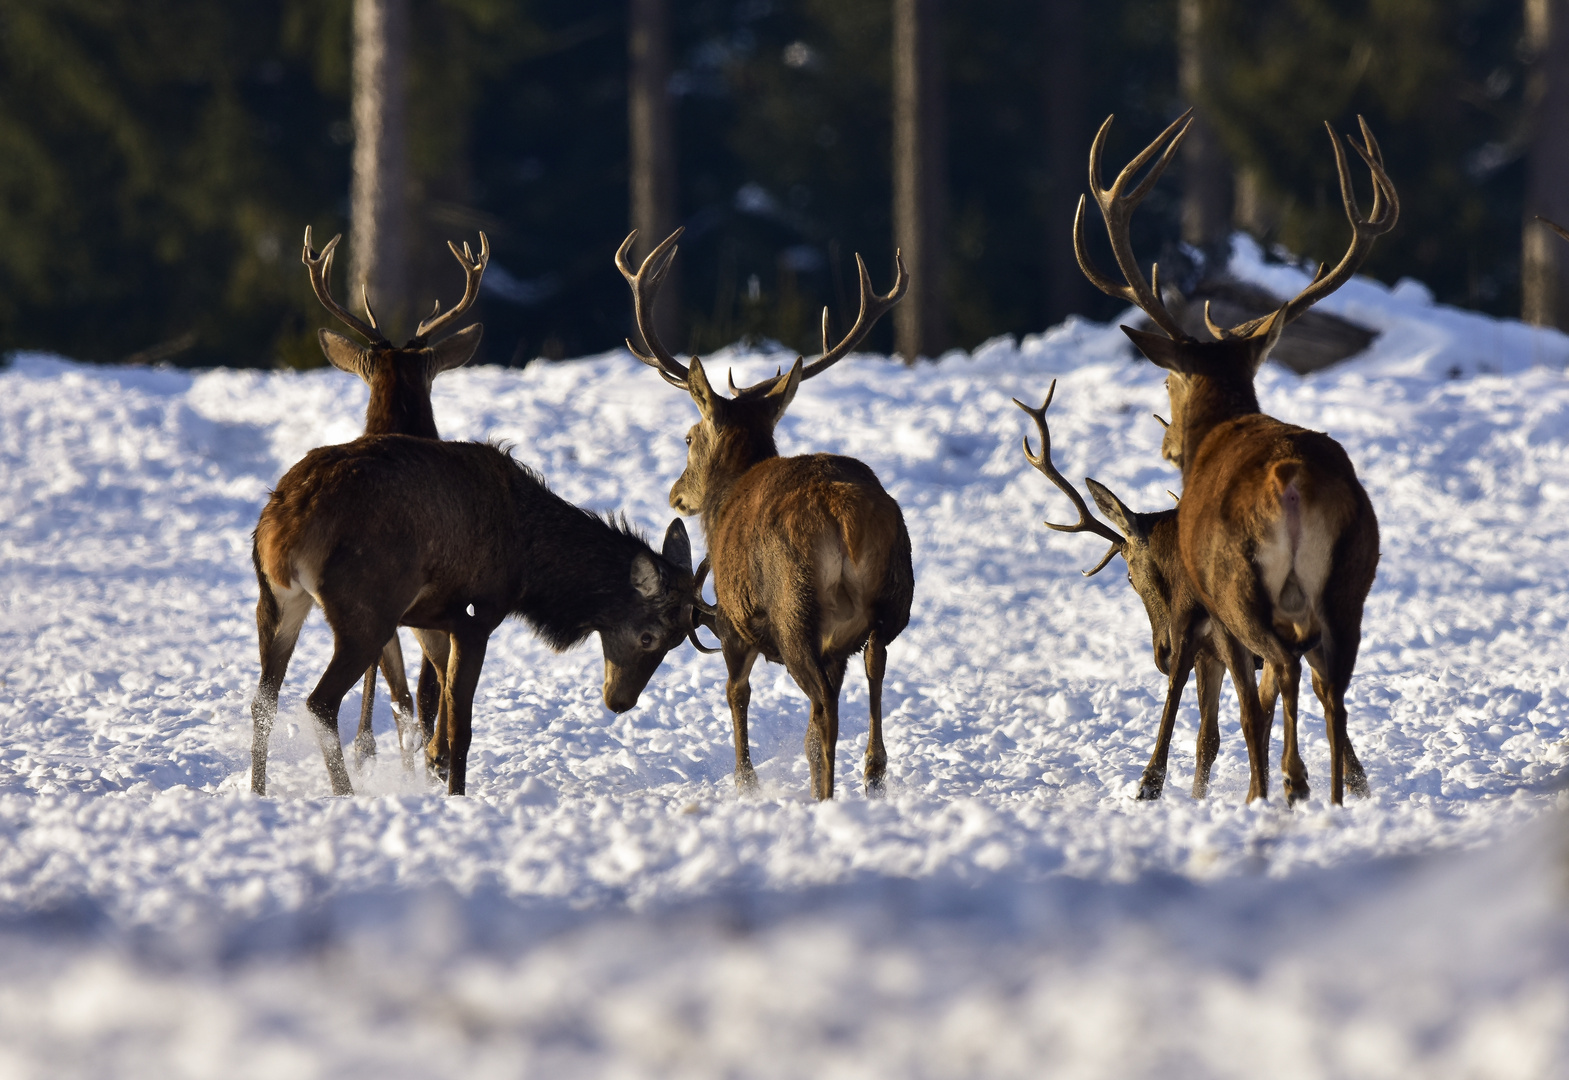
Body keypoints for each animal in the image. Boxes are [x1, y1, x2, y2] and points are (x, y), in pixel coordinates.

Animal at [247, 433, 702, 797]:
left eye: (677, 641)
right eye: (649, 637)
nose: (620, 702)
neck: (527, 568)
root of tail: (282, 528)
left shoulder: (430, 618)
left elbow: (438, 694)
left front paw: (436, 763)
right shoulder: (475, 617)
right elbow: (460, 723)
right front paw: (455, 793)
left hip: (277, 601)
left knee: (263, 701)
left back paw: (258, 791)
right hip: (365, 614)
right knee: (319, 702)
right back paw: (345, 793)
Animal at [615, 227, 916, 797]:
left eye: (688, 437)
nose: (675, 494)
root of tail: (843, 515)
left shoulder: (733, 622)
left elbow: (736, 693)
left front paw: (746, 783)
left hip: (793, 606)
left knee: (822, 710)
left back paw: (827, 795)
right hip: (895, 596)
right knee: (874, 665)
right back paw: (872, 774)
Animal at [1079, 109, 1399, 800]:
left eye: (1168, 383)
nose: (1167, 444)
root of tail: (1293, 479)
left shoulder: (1210, 612)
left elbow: (1245, 705)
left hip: (1241, 586)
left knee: (1281, 676)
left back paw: (1279, 788)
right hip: (1353, 581)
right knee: (1332, 688)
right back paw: (1332, 796)